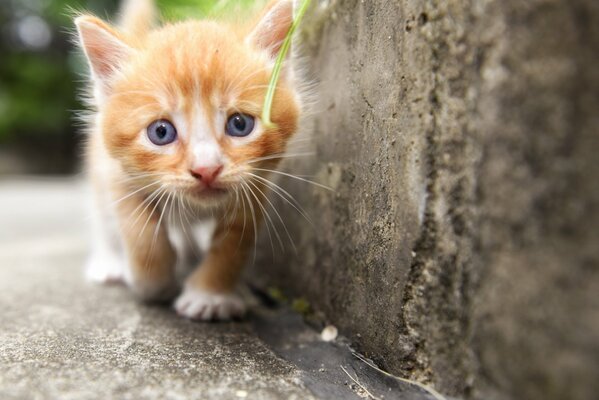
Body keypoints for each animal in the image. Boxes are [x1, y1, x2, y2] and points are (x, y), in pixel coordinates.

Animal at [77, 0, 302, 320]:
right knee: (102, 218)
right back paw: (108, 262)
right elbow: (141, 234)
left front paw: (211, 295)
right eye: (161, 132)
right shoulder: (118, 176)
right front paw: (153, 284)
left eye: (240, 124)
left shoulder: (255, 186)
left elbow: (233, 245)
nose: (206, 169)